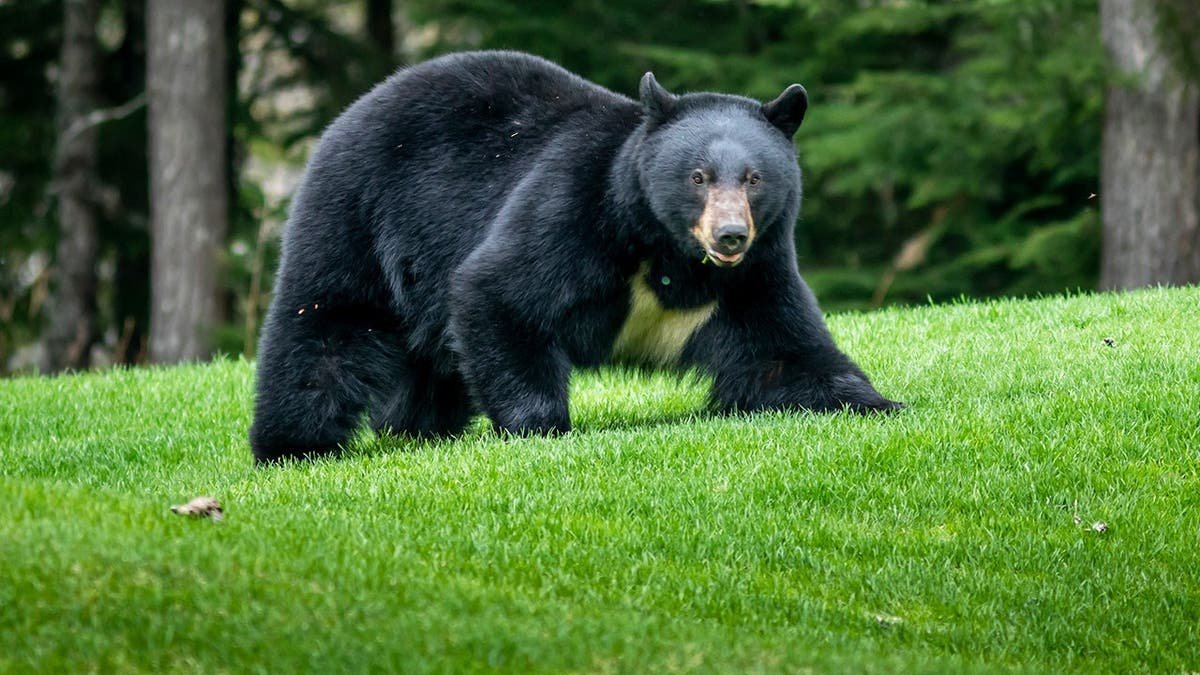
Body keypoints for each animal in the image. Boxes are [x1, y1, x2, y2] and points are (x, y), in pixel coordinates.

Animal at [249, 50, 901, 464]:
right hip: (359, 212)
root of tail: (353, 109)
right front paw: (540, 427)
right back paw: (293, 446)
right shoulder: (574, 207)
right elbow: (499, 291)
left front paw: (878, 403)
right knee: (324, 326)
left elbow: (785, 350)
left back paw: (416, 429)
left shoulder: (756, 274)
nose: (730, 236)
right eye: (697, 177)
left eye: (755, 178)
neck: (668, 252)